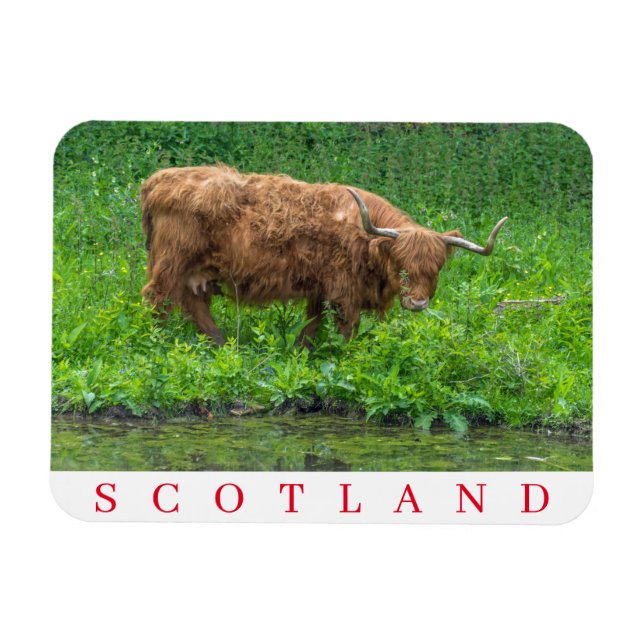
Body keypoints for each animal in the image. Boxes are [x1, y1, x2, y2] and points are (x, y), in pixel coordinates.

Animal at [140, 163, 507, 346]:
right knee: (157, 297)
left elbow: (310, 327)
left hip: (193, 272)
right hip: (172, 261)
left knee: (193, 304)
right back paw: (158, 342)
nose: (417, 303)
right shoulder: (344, 290)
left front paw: (300, 353)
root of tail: (158, 180)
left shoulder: (319, 288)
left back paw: (221, 343)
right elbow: (348, 329)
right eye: (402, 266)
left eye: (436, 267)